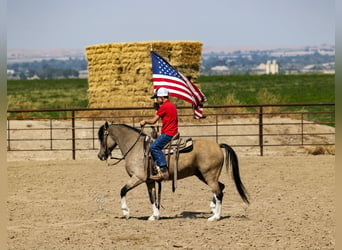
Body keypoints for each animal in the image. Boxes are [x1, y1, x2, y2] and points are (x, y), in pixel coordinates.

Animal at [96, 121, 248, 221]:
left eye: (102, 137)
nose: (100, 155)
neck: (136, 148)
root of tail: (218, 145)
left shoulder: (137, 178)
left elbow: (122, 191)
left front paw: (125, 212)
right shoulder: (149, 181)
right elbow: (152, 197)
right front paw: (154, 216)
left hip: (209, 175)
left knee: (219, 192)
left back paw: (215, 217)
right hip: (203, 175)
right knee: (220, 187)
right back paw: (213, 208)